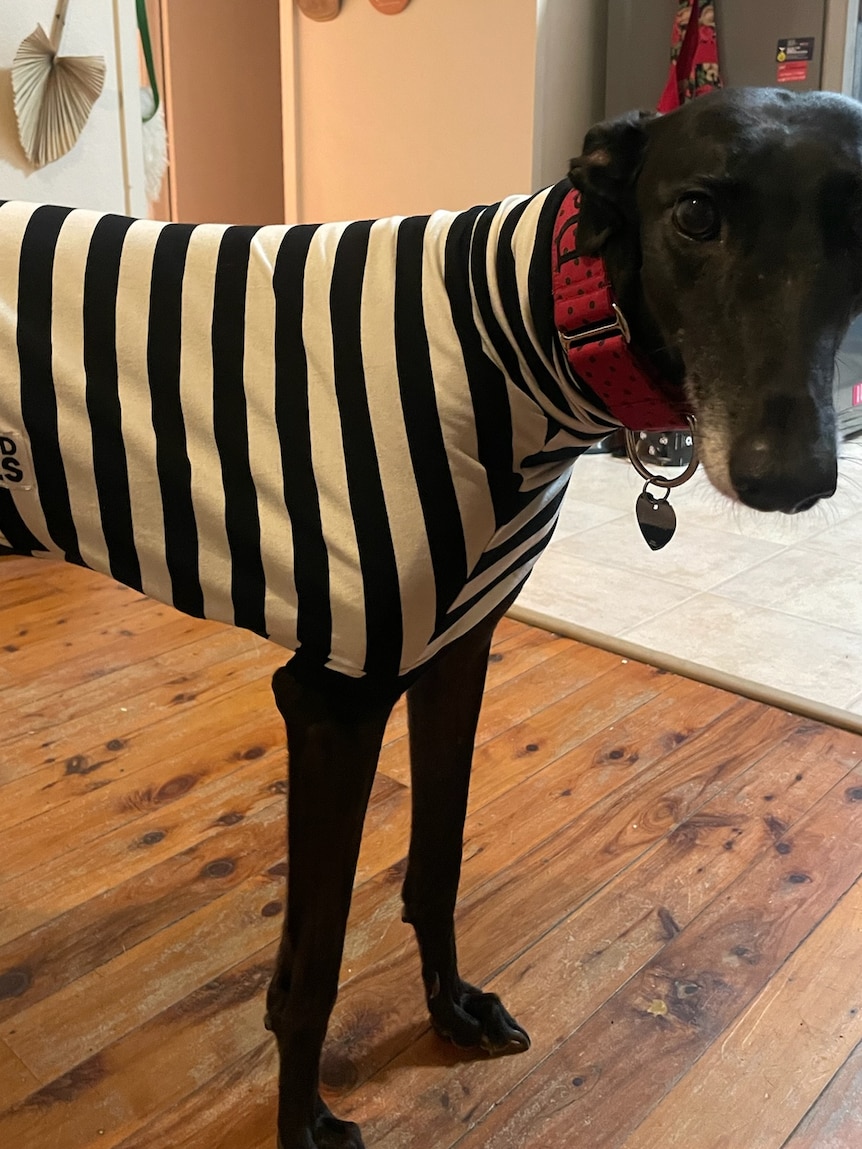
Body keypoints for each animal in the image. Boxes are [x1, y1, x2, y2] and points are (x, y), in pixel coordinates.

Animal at [1, 89, 862, 1149]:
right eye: (696, 213)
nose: (792, 478)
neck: (525, 330)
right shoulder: (334, 697)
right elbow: (317, 963)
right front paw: (302, 1121)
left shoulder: (457, 648)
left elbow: (435, 865)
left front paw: (450, 1008)